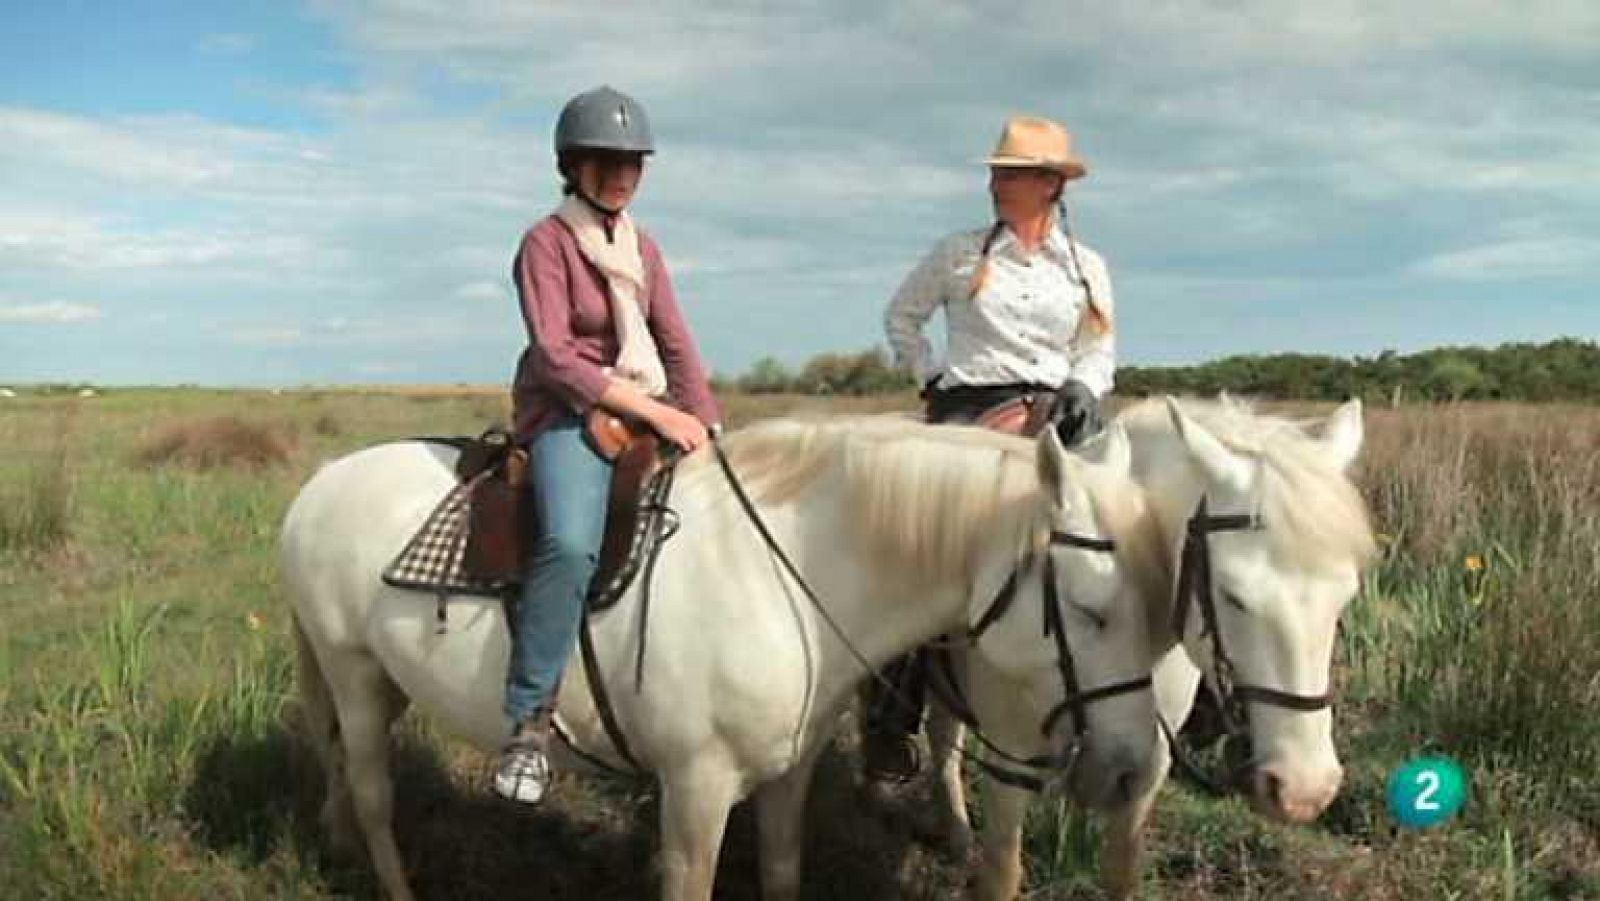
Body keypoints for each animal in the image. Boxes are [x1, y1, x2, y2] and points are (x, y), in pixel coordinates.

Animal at [281, 416, 1164, 901]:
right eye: (1091, 608)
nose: (1131, 773)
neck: (786, 576)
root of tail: (320, 482)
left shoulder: (787, 776)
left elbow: (780, 872)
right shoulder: (696, 791)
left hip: (383, 683)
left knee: (339, 766)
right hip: (352, 673)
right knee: (372, 792)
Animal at [934, 398, 1382, 896]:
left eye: (1344, 597)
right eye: (1233, 595)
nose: (1304, 790)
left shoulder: (1147, 767)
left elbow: (1122, 870)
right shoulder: (1009, 765)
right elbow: (1002, 874)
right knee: (943, 740)